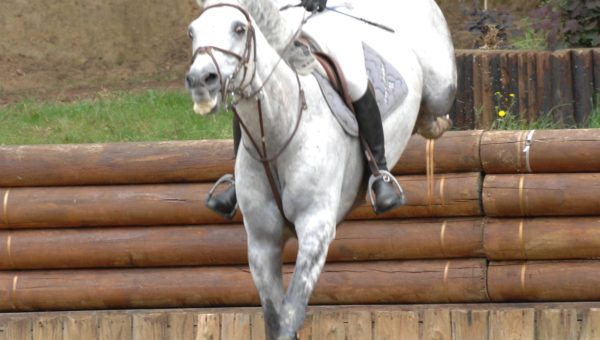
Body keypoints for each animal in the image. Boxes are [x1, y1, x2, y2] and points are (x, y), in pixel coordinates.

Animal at [186, 0, 454, 338]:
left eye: (239, 28)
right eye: (192, 32)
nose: (201, 80)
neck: (277, 132)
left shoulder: (316, 230)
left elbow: (291, 314)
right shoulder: (262, 243)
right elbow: (274, 317)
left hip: (440, 84)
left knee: (437, 109)